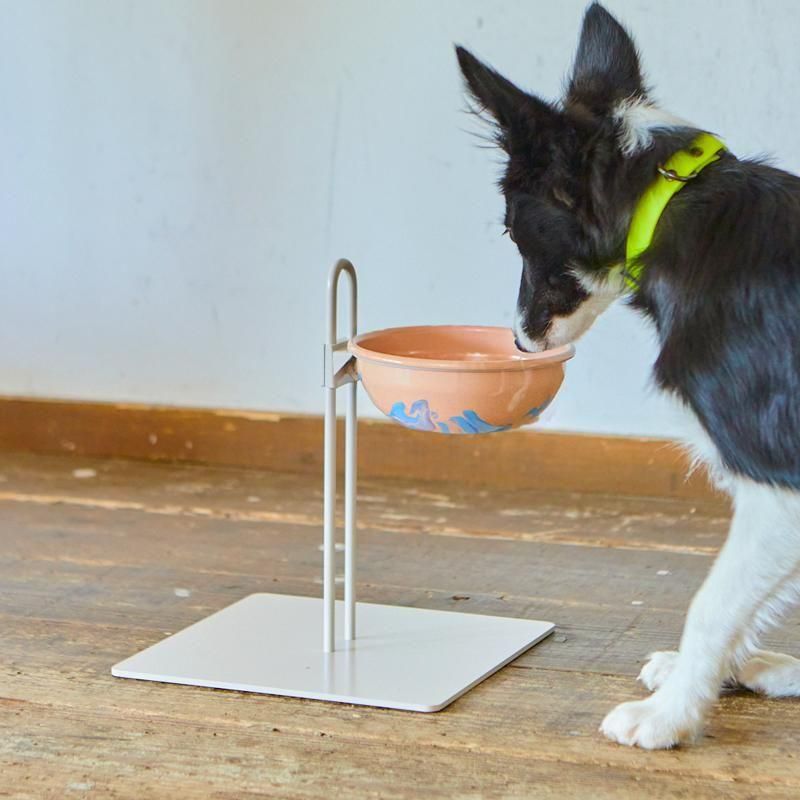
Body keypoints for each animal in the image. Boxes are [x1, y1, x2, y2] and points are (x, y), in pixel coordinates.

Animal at [457, 2, 800, 749]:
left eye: (513, 232)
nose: (520, 341)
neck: (671, 208)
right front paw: (703, 679)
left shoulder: (779, 481)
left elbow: (714, 601)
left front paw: (671, 713)